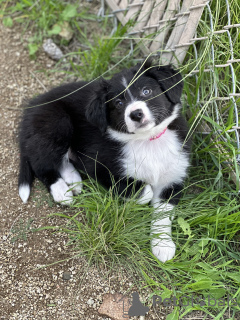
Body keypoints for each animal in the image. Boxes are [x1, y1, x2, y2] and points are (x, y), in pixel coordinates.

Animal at [17, 60, 191, 262]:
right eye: (119, 103)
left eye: (146, 91)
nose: (136, 114)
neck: (148, 141)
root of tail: (32, 107)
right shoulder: (98, 166)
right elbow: (144, 191)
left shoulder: (173, 177)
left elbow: (163, 214)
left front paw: (162, 245)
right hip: (57, 123)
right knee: (41, 163)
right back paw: (61, 191)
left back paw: (73, 180)